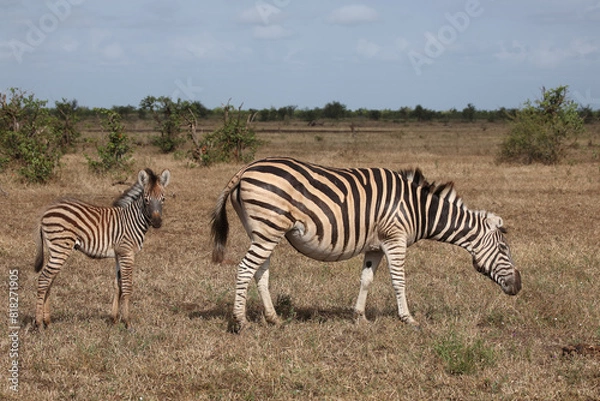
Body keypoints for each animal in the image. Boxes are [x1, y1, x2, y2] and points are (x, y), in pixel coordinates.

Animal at [34, 168, 170, 328]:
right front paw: (127, 321)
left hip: (55, 250)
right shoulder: (127, 253)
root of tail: (47, 210)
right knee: (44, 279)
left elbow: (118, 285)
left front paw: (114, 319)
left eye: (163, 199)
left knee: (49, 280)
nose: (157, 223)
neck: (132, 220)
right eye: (146, 199)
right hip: (61, 248)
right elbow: (127, 286)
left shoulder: (119, 254)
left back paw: (47, 321)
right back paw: (39, 323)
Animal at [211, 156, 520, 332]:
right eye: (504, 249)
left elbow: (366, 279)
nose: (518, 286)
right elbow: (399, 280)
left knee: (260, 273)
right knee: (244, 269)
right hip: (268, 227)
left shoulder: (375, 246)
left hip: (263, 231)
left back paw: (273, 319)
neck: (419, 209)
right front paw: (408, 319)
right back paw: (240, 322)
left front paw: (359, 317)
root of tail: (245, 169)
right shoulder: (395, 239)